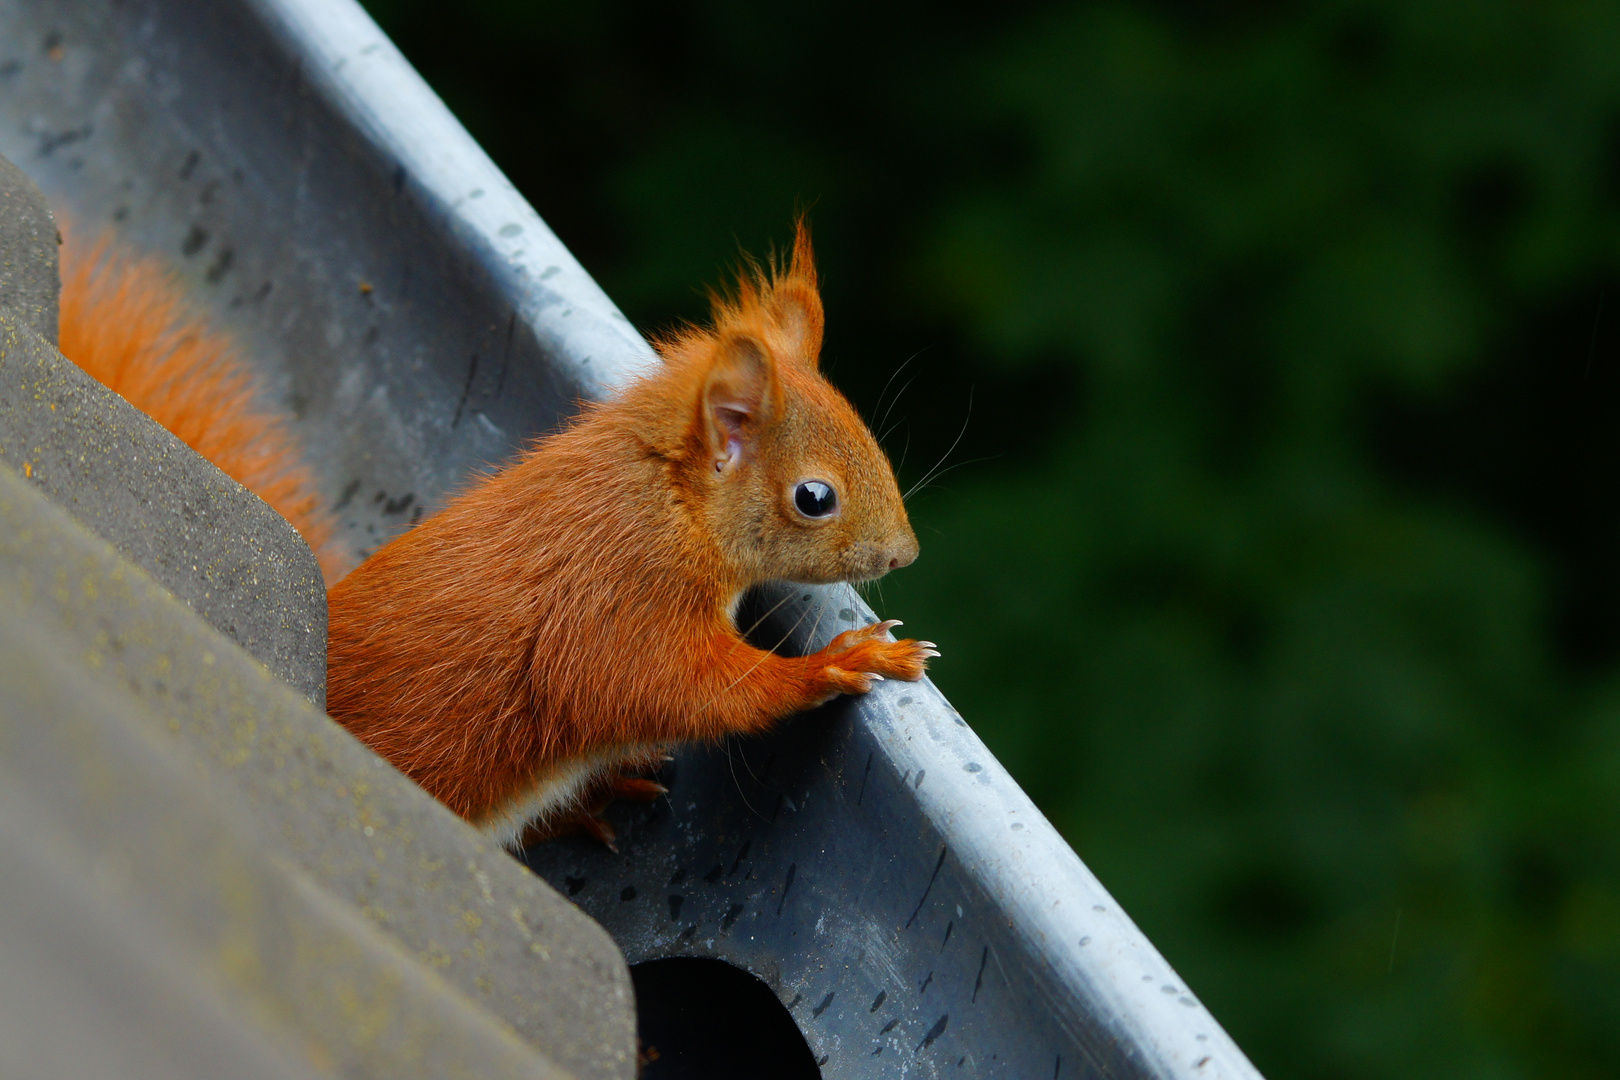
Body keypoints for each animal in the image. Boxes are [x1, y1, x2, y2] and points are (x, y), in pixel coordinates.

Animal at [325, 226, 939, 854]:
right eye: (814, 498)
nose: (905, 553)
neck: (671, 507)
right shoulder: (620, 604)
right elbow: (692, 691)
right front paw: (844, 660)